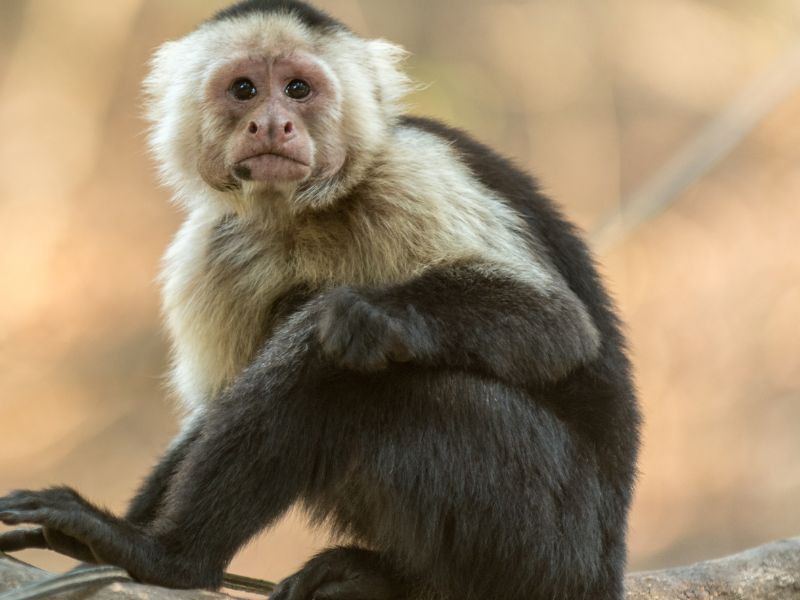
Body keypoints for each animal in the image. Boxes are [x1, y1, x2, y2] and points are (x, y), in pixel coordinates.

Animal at [0, 1, 640, 599]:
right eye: (244, 89)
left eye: (298, 89)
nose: (271, 124)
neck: (302, 211)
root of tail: (605, 567)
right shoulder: (212, 248)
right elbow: (212, 408)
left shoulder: (412, 172)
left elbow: (558, 326)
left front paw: (372, 314)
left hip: (553, 540)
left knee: (349, 366)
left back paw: (171, 557)